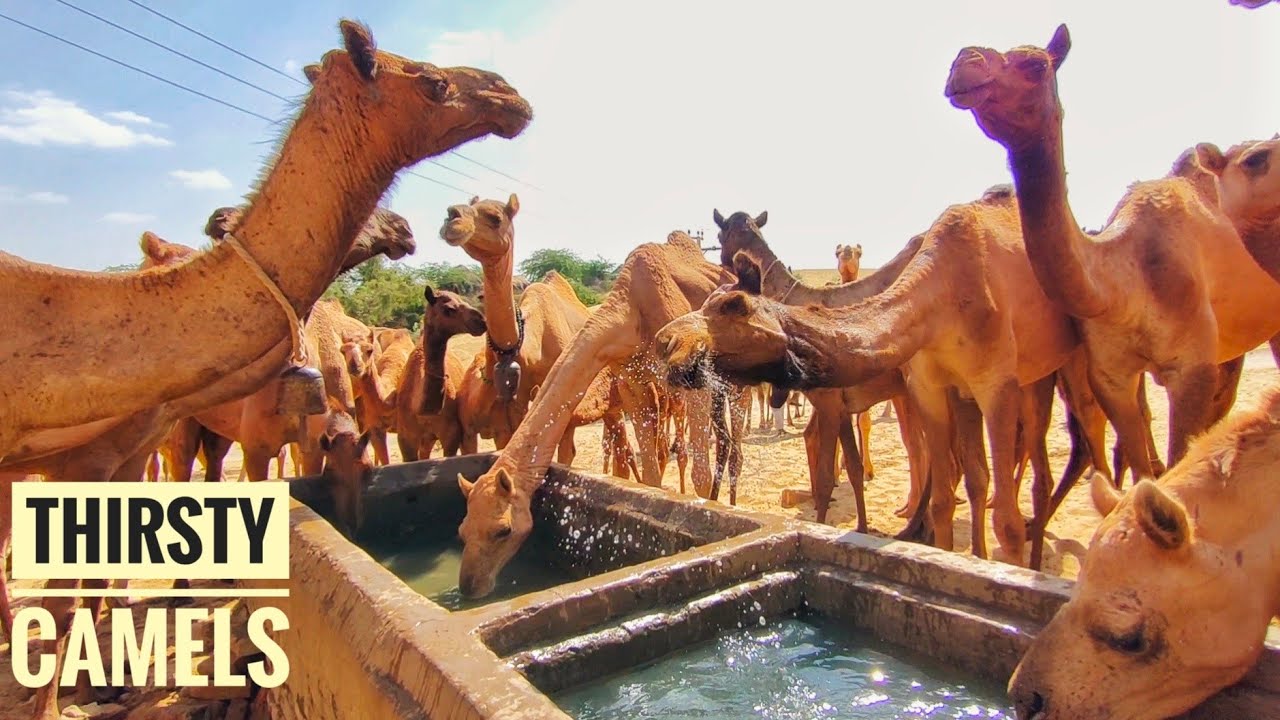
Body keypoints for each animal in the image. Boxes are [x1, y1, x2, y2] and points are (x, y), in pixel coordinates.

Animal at [395, 286, 486, 459]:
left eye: (463, 299)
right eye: (448, 309)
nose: (481, 321)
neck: (422, 410)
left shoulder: (451, 434)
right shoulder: (404, 437)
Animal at [456, 232, 727, 598]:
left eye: (502, 530)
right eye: (462, 530)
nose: (469, 588)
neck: (629, 312)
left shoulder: (692, 376)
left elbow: (698, 472)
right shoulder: (631, 385)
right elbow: (649, 474)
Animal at [946, 24, 1280, 482]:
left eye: (1034, 64)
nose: (963, 62)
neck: (1121, 282)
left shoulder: (1190, 367)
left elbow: (1178, 457)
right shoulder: (1111, 376)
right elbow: (1140, 466)